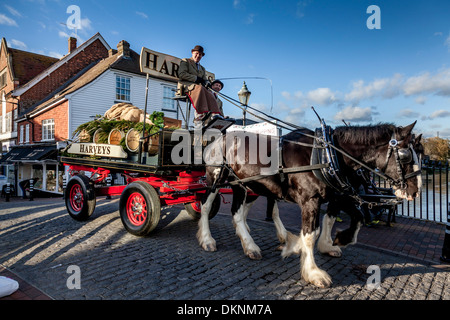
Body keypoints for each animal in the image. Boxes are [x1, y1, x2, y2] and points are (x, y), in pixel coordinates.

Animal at [197, 122, 422, 288]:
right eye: (405, 156)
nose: (416, 191)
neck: (328, 155)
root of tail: (218, 139)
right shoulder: (310, 201)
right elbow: (310, 235)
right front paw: (313, 272)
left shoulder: (339, 196)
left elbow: (346, 219)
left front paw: (335, 241)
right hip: (216, 179)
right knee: (209, 207)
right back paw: (212, 240)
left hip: (247, 185)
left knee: (240, 212)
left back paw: (253, 241)